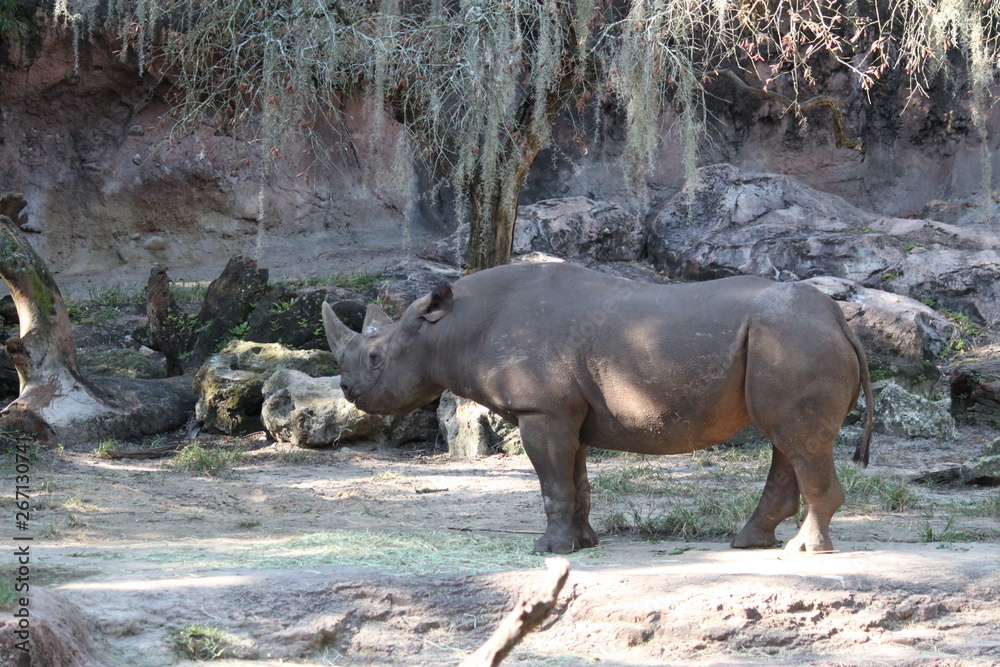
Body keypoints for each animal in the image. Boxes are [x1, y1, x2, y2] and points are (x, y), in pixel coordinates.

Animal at [322, 262, 873, 554]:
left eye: (375, 358)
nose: (348, 390)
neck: (449, 328)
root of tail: (840, 320)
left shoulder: (540, 410)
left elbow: (552, 482)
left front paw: (548, 550)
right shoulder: (566, 413)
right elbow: (576, 479)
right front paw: (584, 542)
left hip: (794, 339)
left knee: (796, 440)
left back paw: (805, 550)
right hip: (788, 339)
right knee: (787, 439)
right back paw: (752, 542)